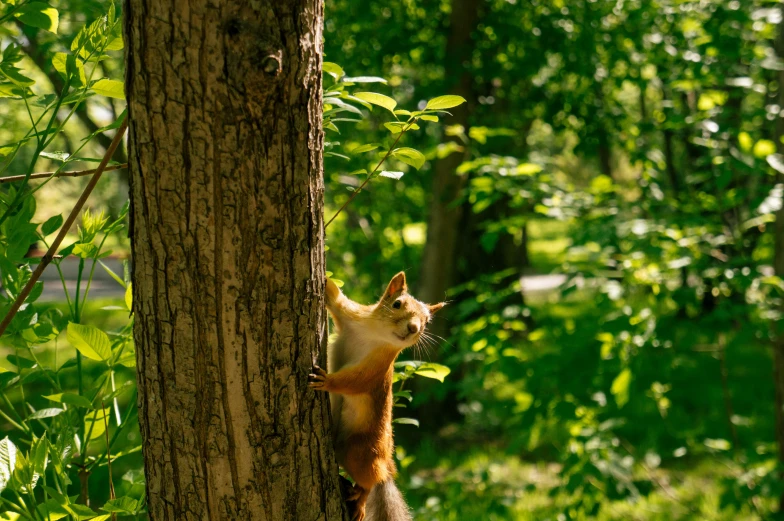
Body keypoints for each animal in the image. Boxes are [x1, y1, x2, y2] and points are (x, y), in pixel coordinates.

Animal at [312, 272, 448, 520]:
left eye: (426, 321)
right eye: (397, 304)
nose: (414, 327)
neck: (375, 334)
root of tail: (386, 464)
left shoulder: (375, 370)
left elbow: (353, 382)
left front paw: (327, 382)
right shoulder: (352, 315)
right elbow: (337, 300)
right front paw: (326, 279)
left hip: (360, 451)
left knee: (369, 481)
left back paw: (361, 501)